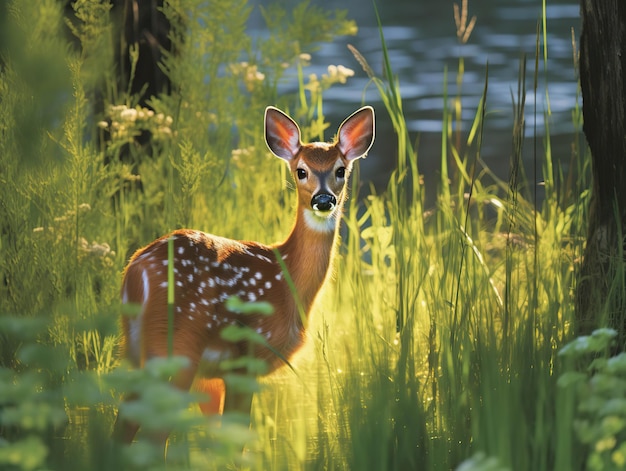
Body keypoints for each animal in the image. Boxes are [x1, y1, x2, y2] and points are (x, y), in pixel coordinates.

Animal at [111, 105, 372, 448]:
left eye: (340, 170)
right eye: (301, 171)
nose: (324, 200)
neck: (286, 280)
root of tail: (136, 273)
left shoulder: (214, 379)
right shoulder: (246, 362)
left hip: (134, 349)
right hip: (176, 349)